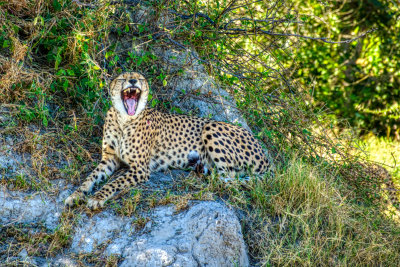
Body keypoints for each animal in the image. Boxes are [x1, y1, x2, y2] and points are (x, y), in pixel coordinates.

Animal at [65, 72, 274, 210]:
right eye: (123, 78)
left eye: (139, 78)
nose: (133, 81)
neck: (124, 120)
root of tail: (265, 156)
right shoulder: (109, 158)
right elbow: (90, 178)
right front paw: (76, 195)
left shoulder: (140, 168)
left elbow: (114, 182)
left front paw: (97, 197)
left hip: (211, 127)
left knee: (229, 180)